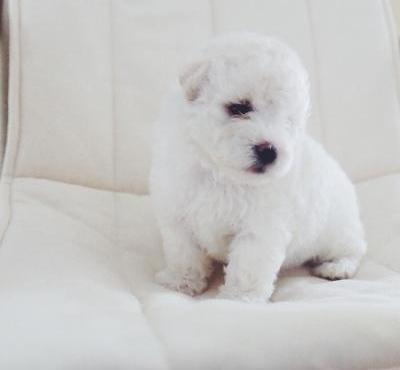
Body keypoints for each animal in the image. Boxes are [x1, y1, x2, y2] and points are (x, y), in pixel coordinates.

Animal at [149, 32, 366, 304]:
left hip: (337, 228)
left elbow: (247, 264)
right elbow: (183, 252)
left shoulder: (261, 227)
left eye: (288, 121)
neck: (222, 175)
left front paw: (239, 298)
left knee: (354, 249)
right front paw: (181, 281)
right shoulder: (178, 210)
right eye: (240, 107)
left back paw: (337, 267)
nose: (269, 150)